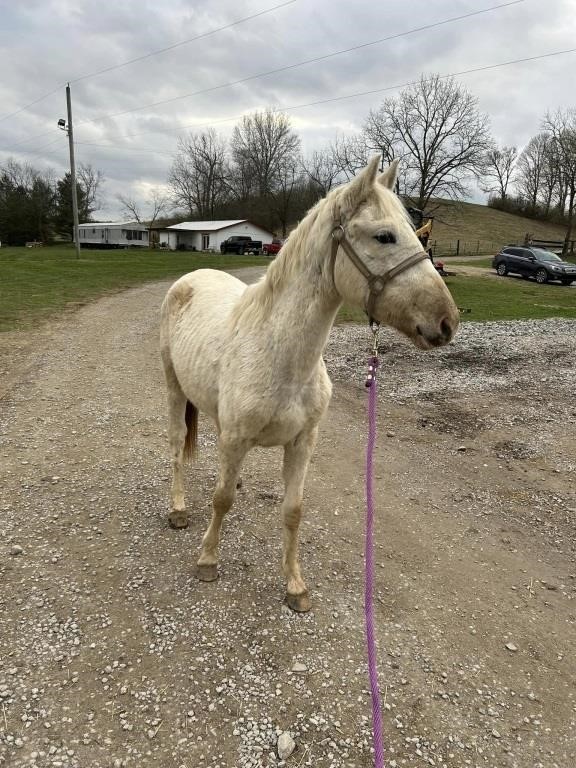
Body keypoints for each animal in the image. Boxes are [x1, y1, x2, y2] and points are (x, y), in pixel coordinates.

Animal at [159, 156, 460, 612]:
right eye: (384, 236)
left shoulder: (302, 442)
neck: (279, 353)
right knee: (178, 444)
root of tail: (192, 276)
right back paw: (177, 509)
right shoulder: (237, 438)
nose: (447, 321)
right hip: (175, 390)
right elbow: (221, 499)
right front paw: (208, 560)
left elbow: (293, 510)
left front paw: (295, 585)